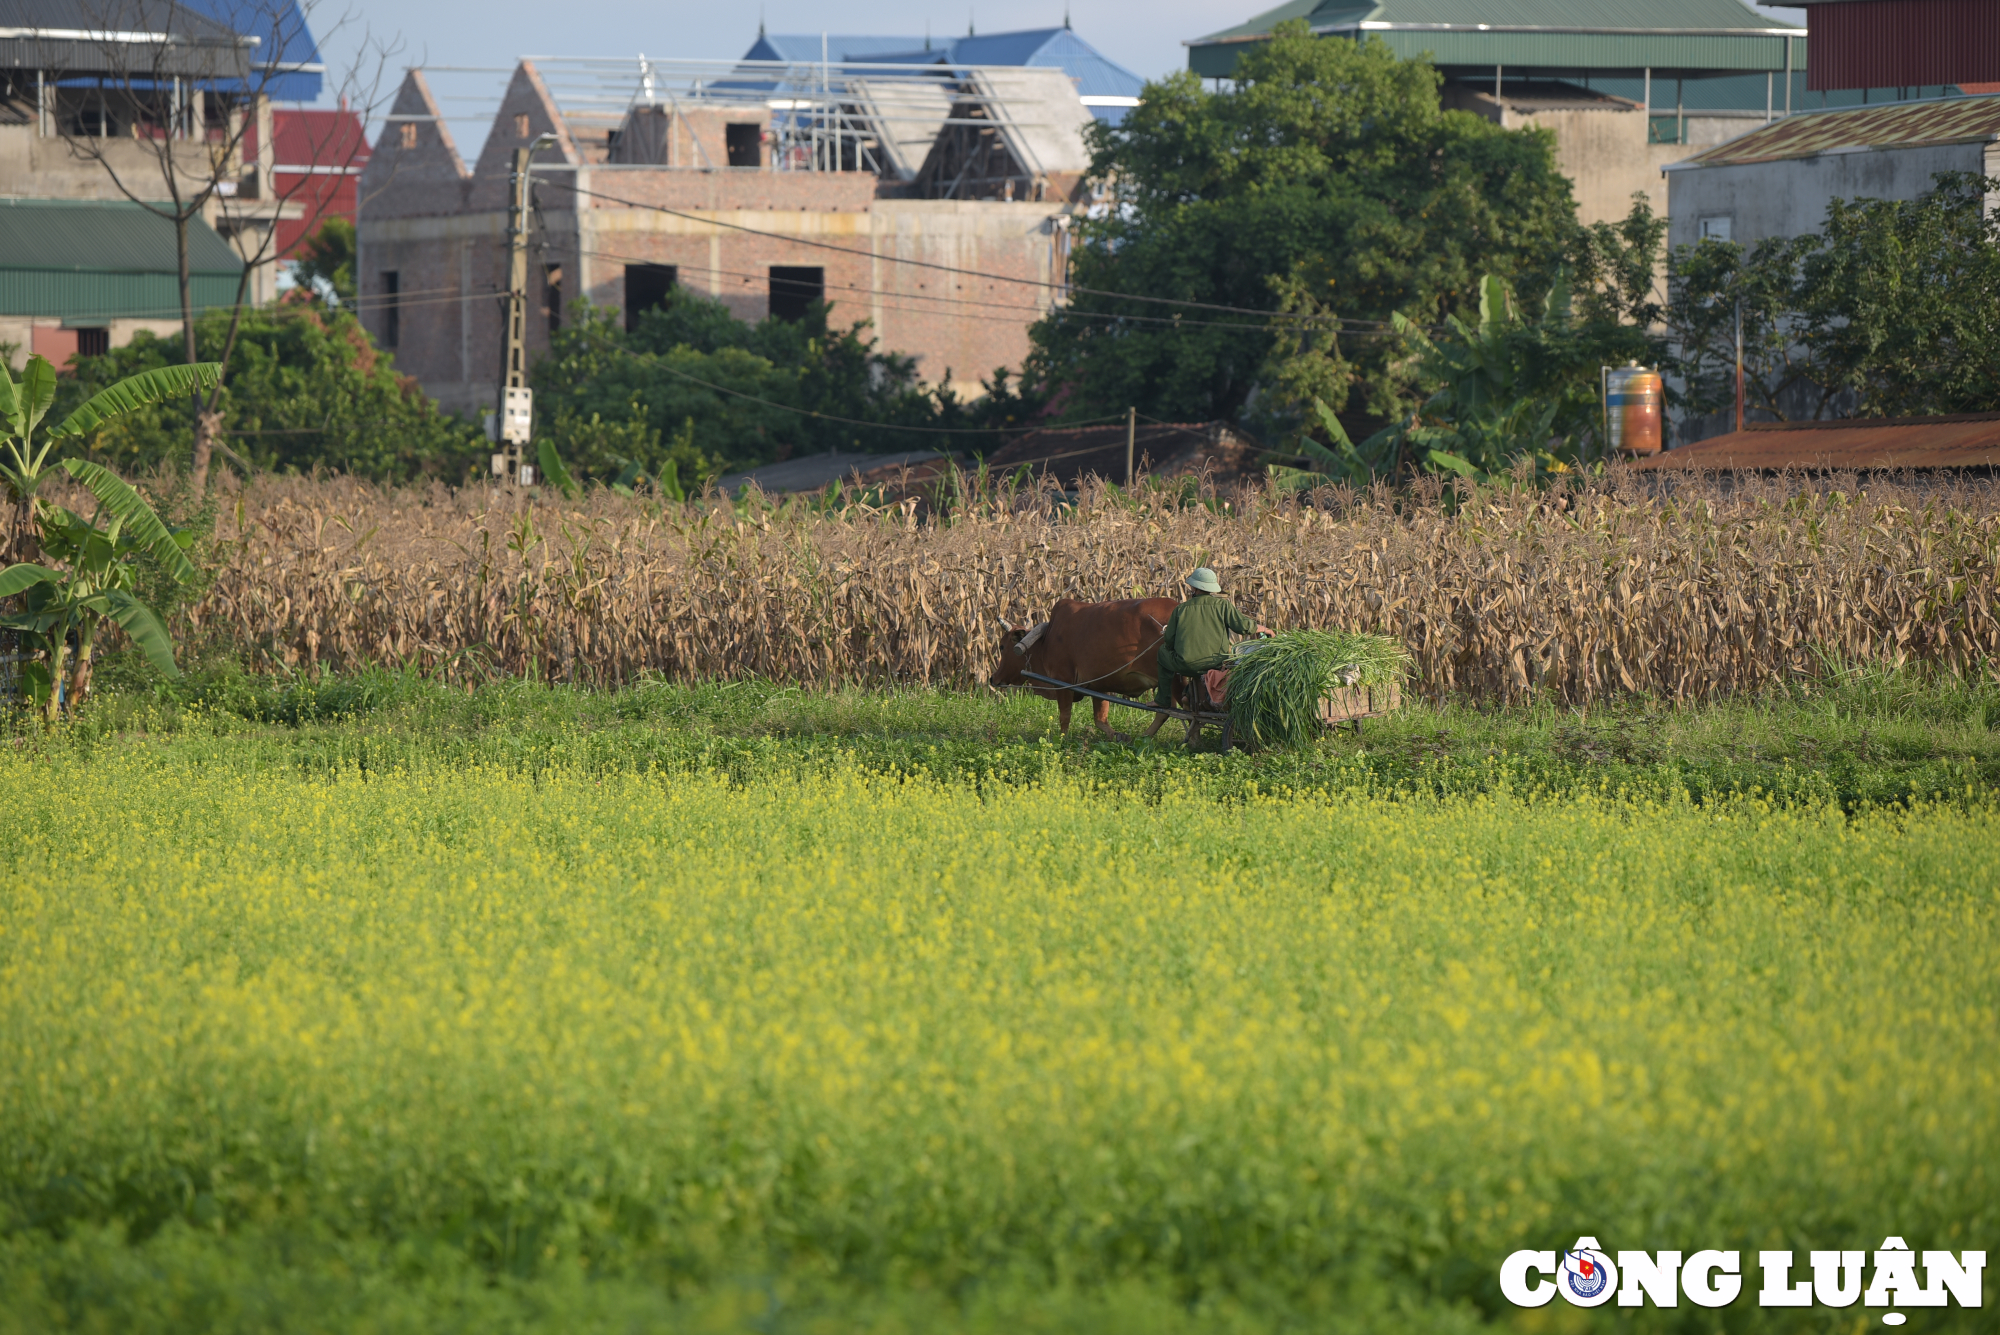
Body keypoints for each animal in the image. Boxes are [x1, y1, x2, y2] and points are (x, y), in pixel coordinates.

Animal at [992, 595, 1176, 735]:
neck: (1045, 642)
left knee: (1168, 711)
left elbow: (1065, 716)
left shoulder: (1063, 681)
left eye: (1002, 646)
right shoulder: (1099, 685)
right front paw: (1118, 737)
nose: (993, 678)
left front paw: (1061, 740)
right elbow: (1100, 720)